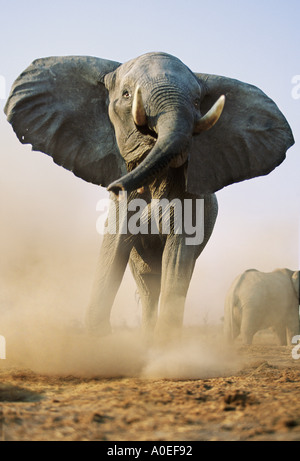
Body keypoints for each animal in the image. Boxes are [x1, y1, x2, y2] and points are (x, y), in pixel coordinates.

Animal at [4, 52, 296, 344]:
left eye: (197, 102)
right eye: (126, 94)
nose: (114, 187)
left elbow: (177, 254)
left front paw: (167, 344)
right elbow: (114, 246)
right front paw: (100, 341)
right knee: (146, 283)